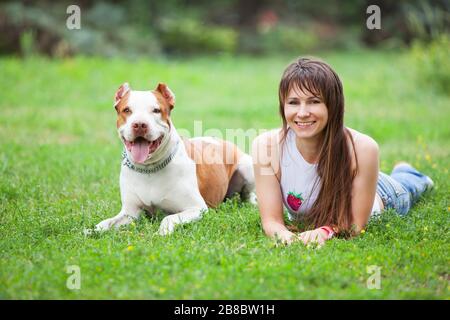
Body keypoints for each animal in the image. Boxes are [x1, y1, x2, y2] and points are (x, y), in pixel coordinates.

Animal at [92, 81, 255, 235]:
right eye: (127, 110)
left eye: (156, 110)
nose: (139, 124)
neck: (149, 168)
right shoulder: (130, 212)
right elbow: (106, 223)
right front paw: (93, 231)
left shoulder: (197, 208)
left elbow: (168, 218)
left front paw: (162, 232)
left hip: (247, 168)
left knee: (248, 196)